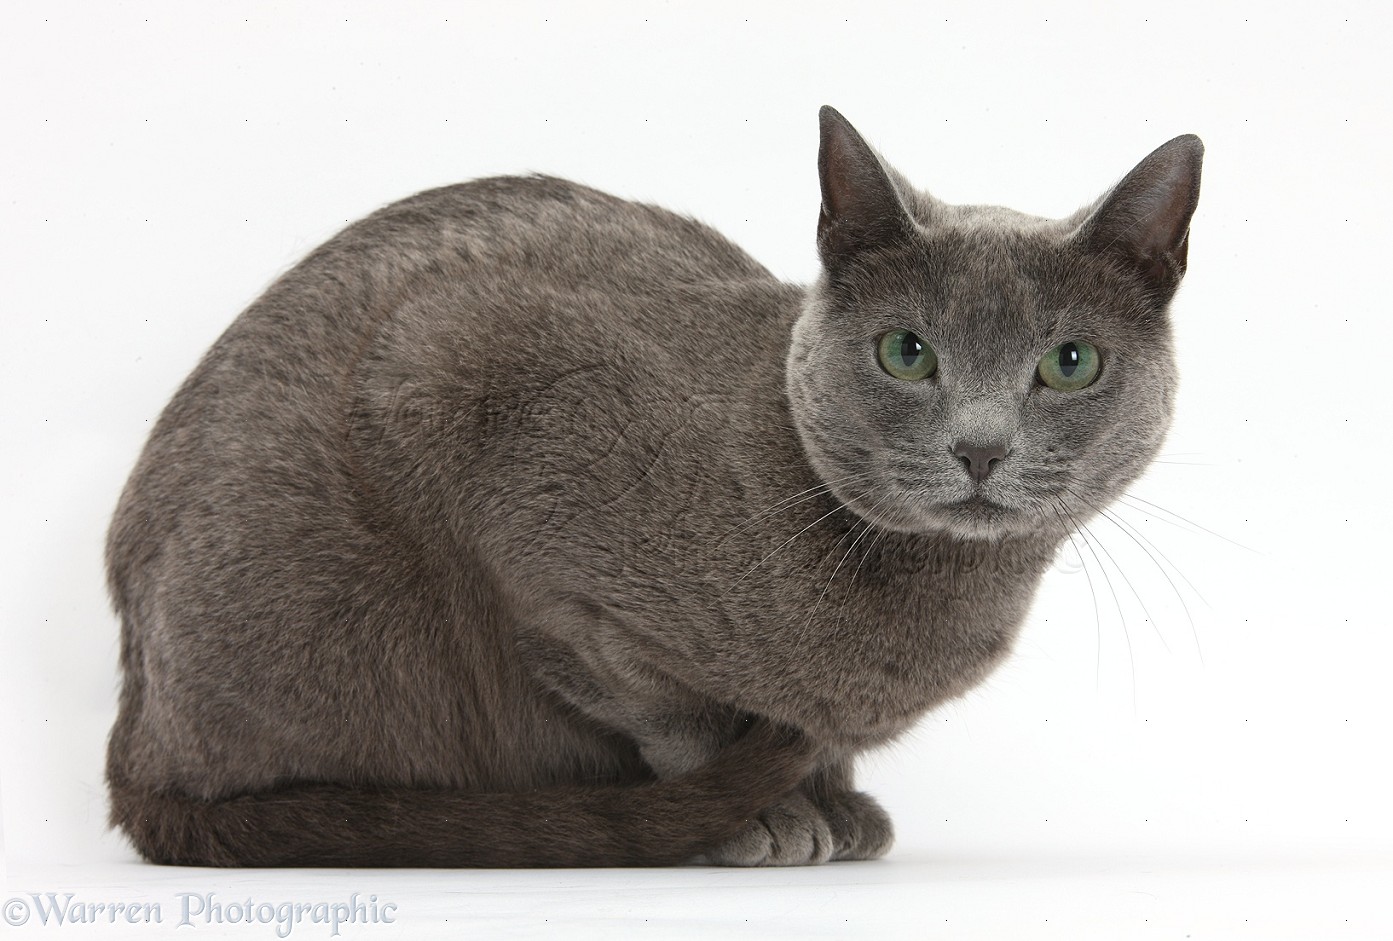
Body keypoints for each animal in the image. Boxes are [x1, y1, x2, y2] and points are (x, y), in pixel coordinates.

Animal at [105, 106, 1197, 863]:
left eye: (1067, 364)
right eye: (905, 352)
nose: (979, 447)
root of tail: (131, 733)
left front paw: (833, 801)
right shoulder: (480, 415)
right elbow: (670, 713)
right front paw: (758, 815)